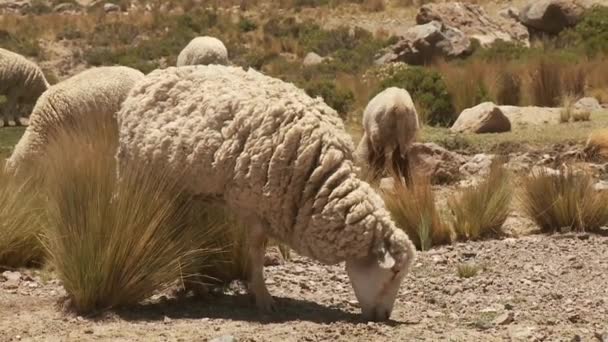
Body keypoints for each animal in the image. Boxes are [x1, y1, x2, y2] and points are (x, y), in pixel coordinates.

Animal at [116, 65, 416, 322]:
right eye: (394, 272)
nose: (384, 316)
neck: (318, 175)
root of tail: (151, 77)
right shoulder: (253, 206)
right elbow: (255, 251)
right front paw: (262, 298)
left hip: (183, 192)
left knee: (182, 234)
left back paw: (196, 285)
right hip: (139, 177)